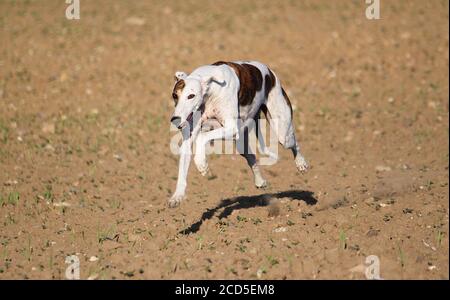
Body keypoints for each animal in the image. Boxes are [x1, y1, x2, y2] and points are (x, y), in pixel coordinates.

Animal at [169, 59, 310, 207]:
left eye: (191, 96)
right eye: (174, 95)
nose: (175, 119)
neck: (210, 88)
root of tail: (269, 72)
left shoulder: (231, 128)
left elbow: (202, 137)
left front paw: (201, 164)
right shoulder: (191, 137)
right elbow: (183, 167)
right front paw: (177, 196)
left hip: (282, 132)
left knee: (293, 143)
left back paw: (301, 163)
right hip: (241, 143)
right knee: (252, 157)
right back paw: (260, 181)